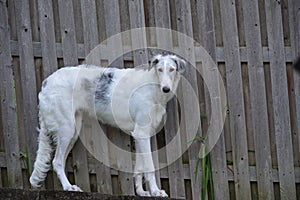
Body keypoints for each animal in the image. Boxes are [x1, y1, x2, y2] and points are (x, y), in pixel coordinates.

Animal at [29, 54, 186, 197]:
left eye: (172, 69)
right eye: (160, 69)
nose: (166, 88)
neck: (152, 86)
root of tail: (46, 82)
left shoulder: (140, 135)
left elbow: (139, 168)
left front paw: (142, 192)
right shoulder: (142, 133)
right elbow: (149, 167)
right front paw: (155, 191)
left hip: (73, 132)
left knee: (59, 161)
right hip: (67, 130)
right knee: (57, 161)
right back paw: (68, 187)